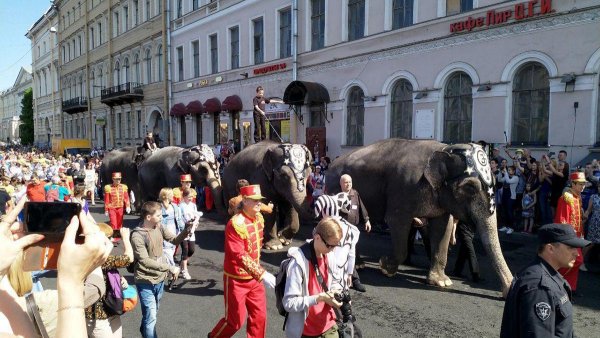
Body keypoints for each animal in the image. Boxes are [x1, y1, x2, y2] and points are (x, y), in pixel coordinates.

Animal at [326, 139, 512, 294]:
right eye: (470, 187)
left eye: (495, 182)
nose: (506, 291)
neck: (443, 149)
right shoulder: (403, 188)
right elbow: (397, 222)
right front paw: (385, 267)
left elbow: (443, 228)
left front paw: (442, 282)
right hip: (335, 187)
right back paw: (357, 265)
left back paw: (359, 264)